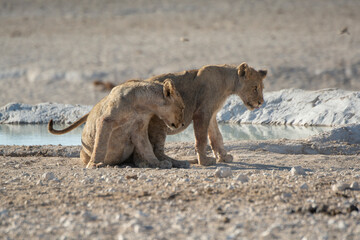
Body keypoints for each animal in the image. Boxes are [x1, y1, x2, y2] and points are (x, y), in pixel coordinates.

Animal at [47, 79, 186, 169]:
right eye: (182, 108)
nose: (183, 124)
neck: (142, 107)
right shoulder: (105, 120)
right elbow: (100, 144)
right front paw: (94, 164)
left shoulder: (139, 129)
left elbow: (146, 148)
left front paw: (157, 163)